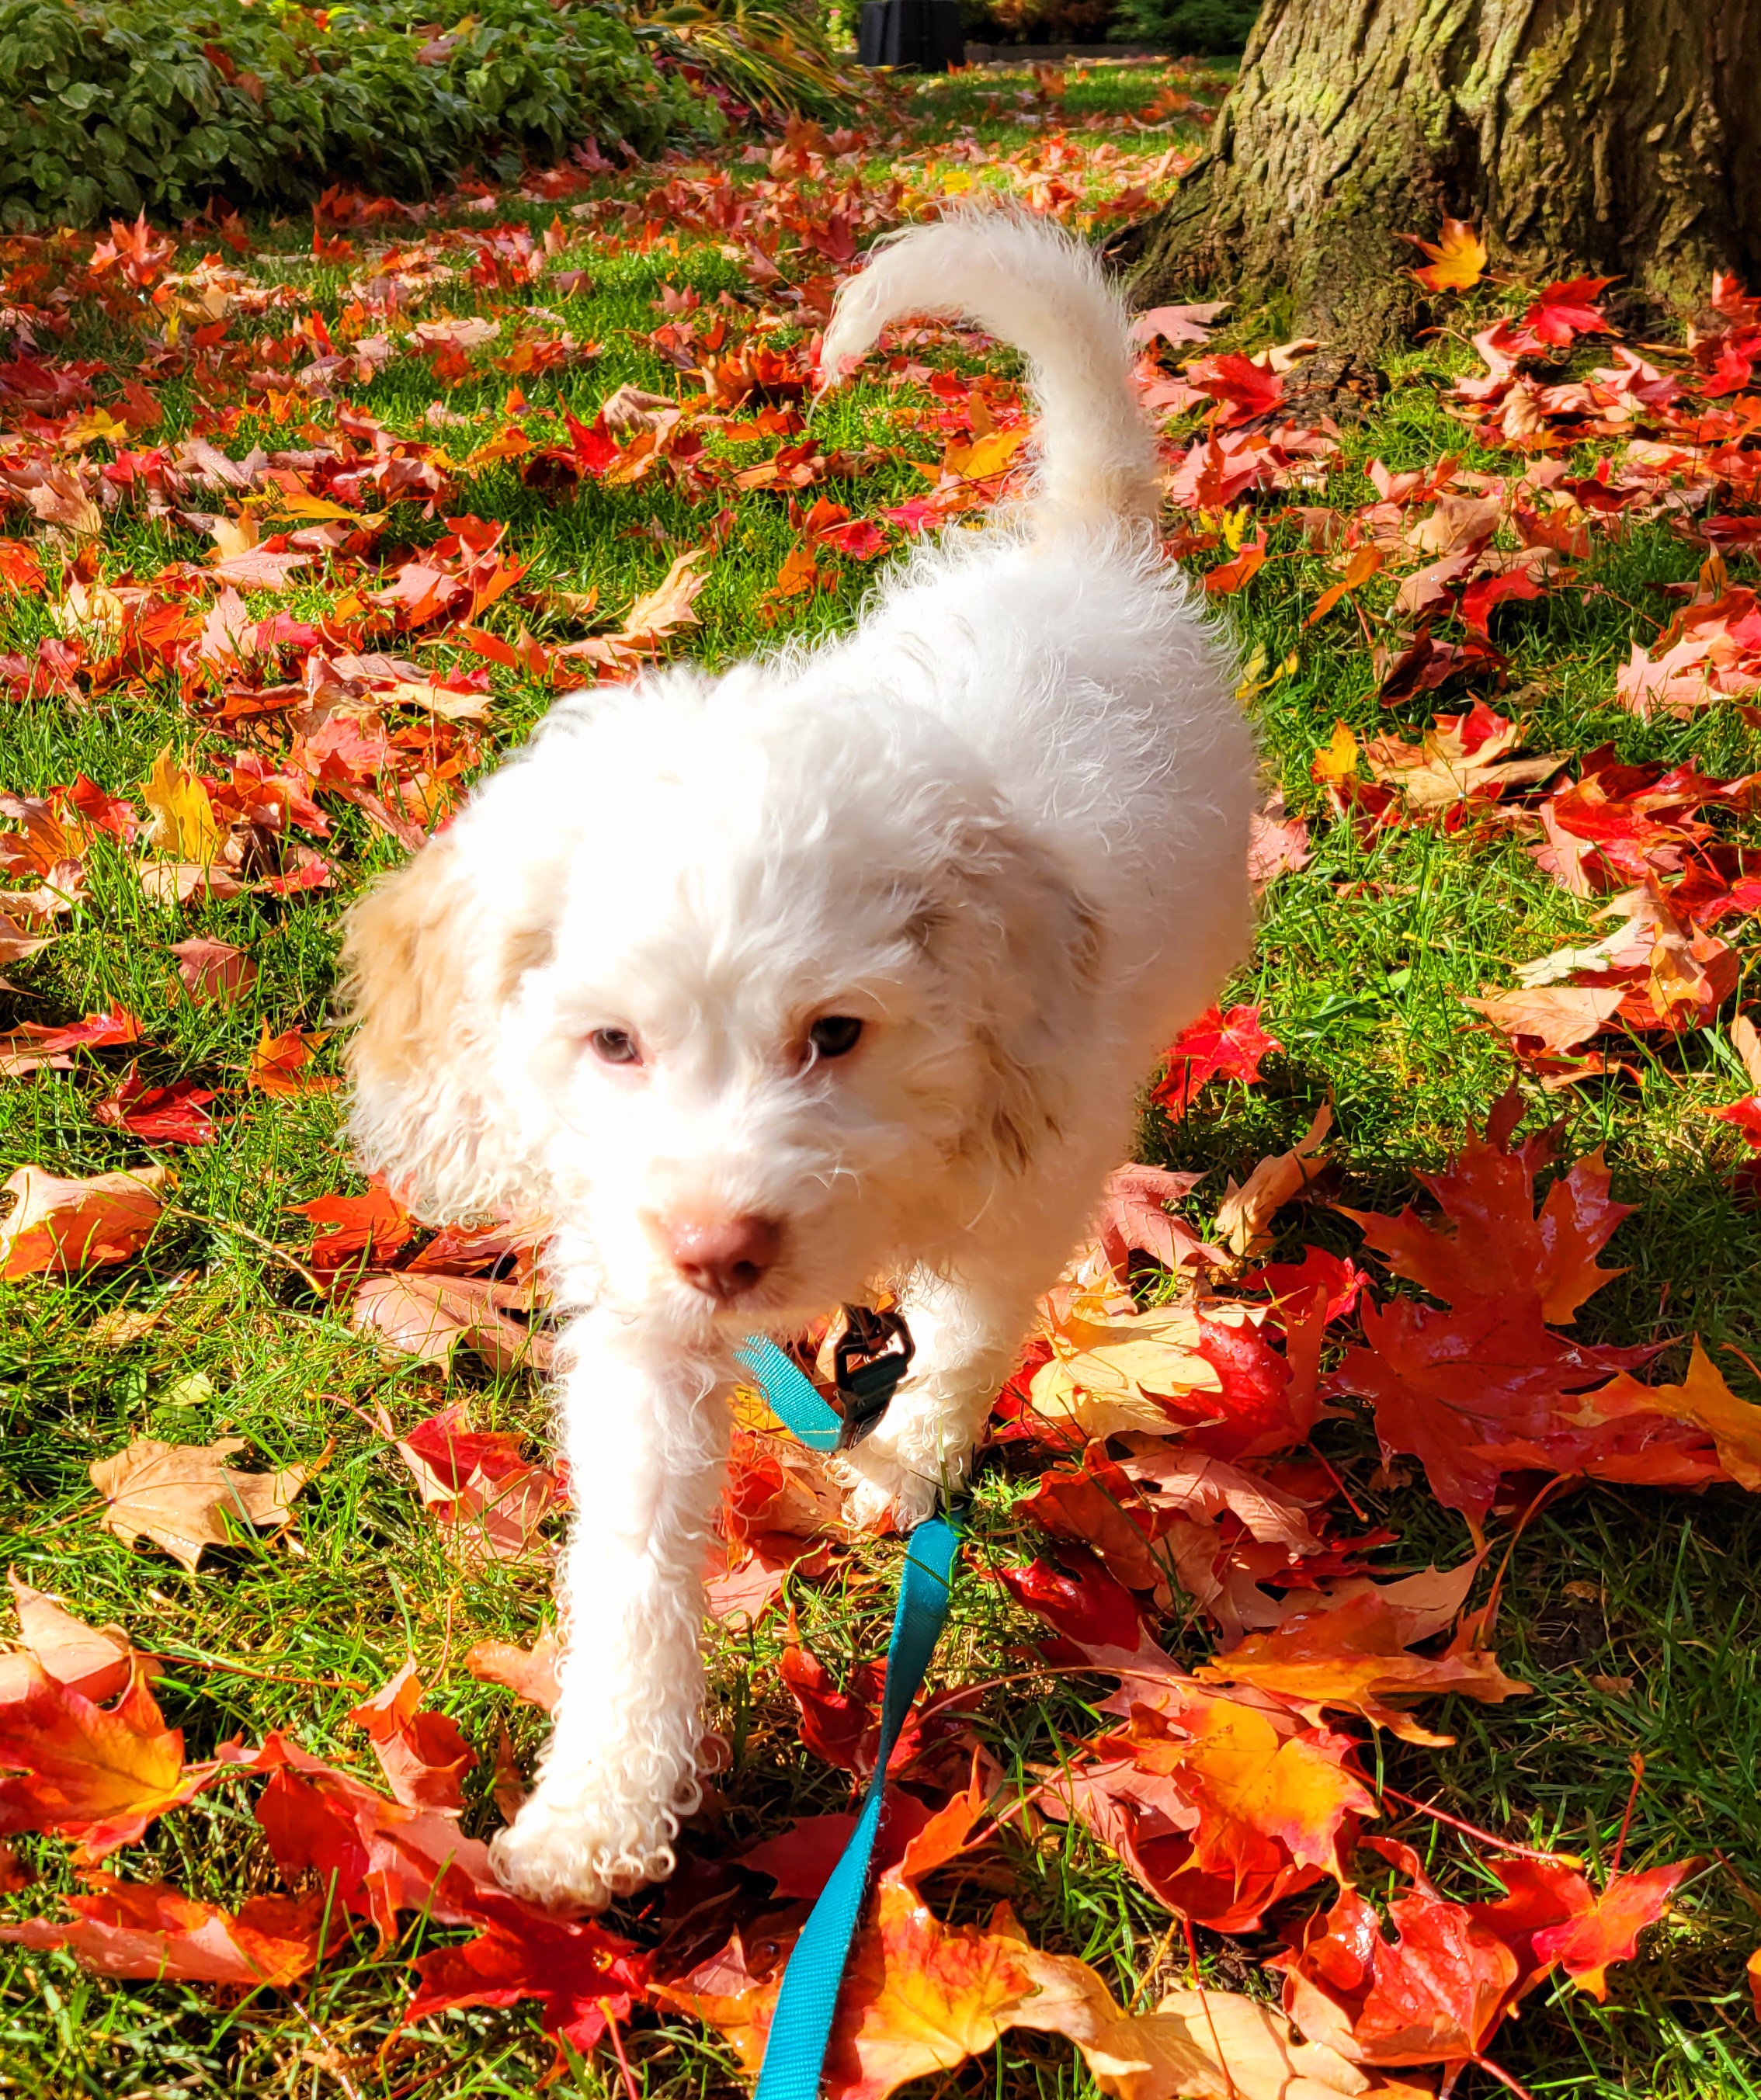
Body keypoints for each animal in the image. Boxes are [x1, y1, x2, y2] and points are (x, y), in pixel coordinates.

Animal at [340, 208, 1254, 1911]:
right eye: (612, 1043)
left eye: (835, 1034)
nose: (724, 1251)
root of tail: (1080, 539)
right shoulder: (641, 1306)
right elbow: (631, 1558)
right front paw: (599, 1804)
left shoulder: (1022, 1185)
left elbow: (963, 1338)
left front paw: (903, 1472)